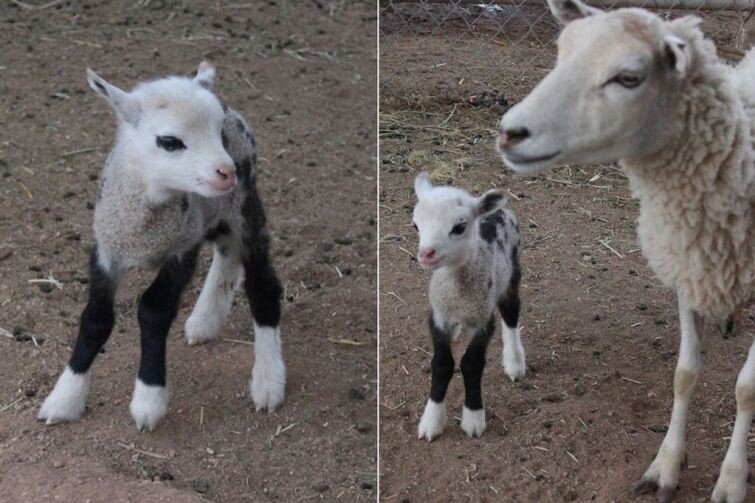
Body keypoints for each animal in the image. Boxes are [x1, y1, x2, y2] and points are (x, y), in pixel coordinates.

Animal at [37, 62, 286, 434]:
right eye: (169, 142)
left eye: (218, 133)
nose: (226, 172)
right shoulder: (107, 250)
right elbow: (95, 319)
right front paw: (65, 398)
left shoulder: (181, 249)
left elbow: (153, 311)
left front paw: (148, 399)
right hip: (218, 212)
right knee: (227, 251)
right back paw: (204, 320)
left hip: (244, 205)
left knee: (262, 284)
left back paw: (268, 381)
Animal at [414, 173, 524, 440]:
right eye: (416, 225)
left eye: (459, 227)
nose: (425, 254)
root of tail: (498, 210)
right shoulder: (438, 316)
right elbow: (442, 364)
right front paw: (432, 420)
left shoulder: (482, 319)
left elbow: (472, 364)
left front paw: (473, 418)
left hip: (512, 271)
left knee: (511, 314)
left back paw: (515, 362)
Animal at [496, 1, 755, 502]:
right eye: (560, 53)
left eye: (629, 77)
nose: (509, 134)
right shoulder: (690, 269)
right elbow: (684, 374)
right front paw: (666, 465)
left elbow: (746, 390)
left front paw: (732, 480)